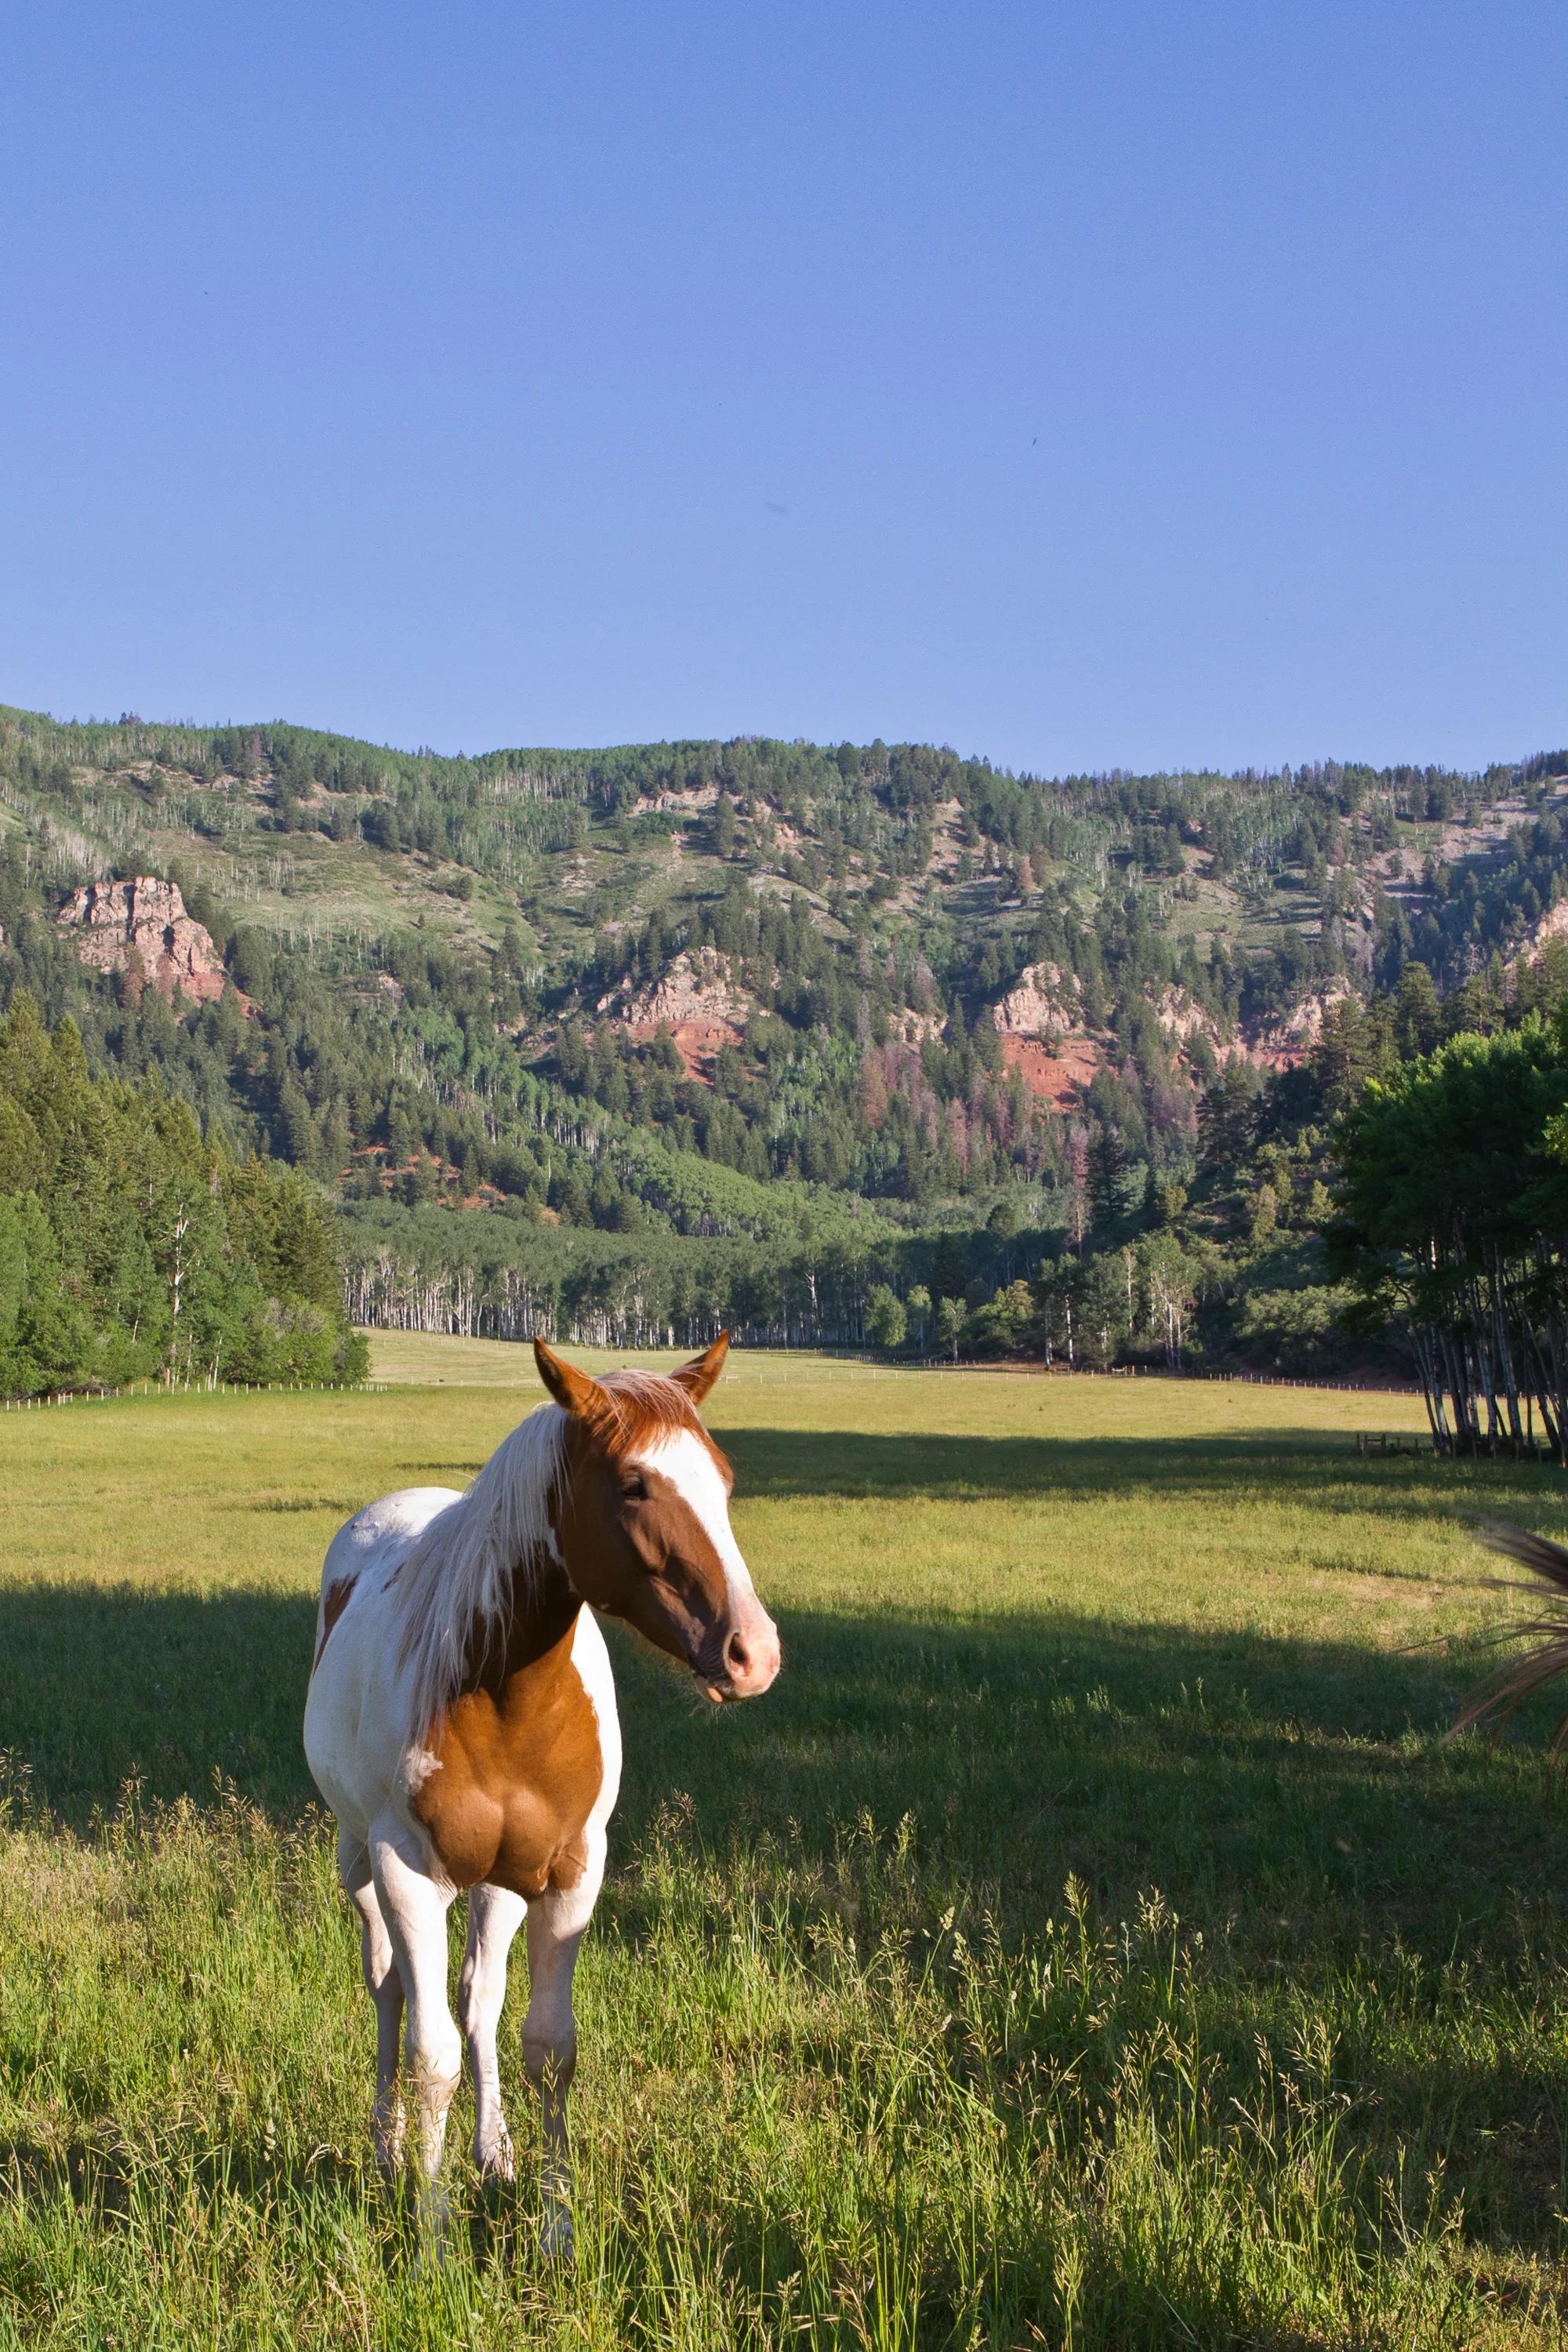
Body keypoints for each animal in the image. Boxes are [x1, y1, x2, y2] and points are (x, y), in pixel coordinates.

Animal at [303, 1332, 780, 2253]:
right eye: (633, 1484)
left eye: (725, 1477)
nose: (753, 1653)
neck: (499, 1693)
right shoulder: (406, 1873)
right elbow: (432, 2056)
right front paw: (432, 2235)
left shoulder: (570, 1873)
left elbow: (547, 2047)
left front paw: (554, 2222)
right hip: (358, 1864)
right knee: (389, 1990)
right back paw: (385, 2149)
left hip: (500, 1885)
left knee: (478, 1999)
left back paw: (494, 2154)